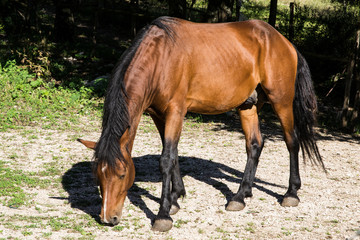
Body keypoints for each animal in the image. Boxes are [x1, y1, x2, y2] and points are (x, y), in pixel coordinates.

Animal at [77, 16, 324, 231]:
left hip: (281, 101)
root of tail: (283, 41)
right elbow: (173, 155)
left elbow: (166, 159)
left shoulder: (176, 112)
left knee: (292, 141)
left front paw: (163, 214)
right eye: (98, 175)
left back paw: (291, 193)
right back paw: (240, 196)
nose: (108, 218)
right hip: (248, 106)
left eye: (121, 174)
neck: (161, 57)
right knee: (254, 145)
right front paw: (176, 198)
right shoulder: (158, 115)